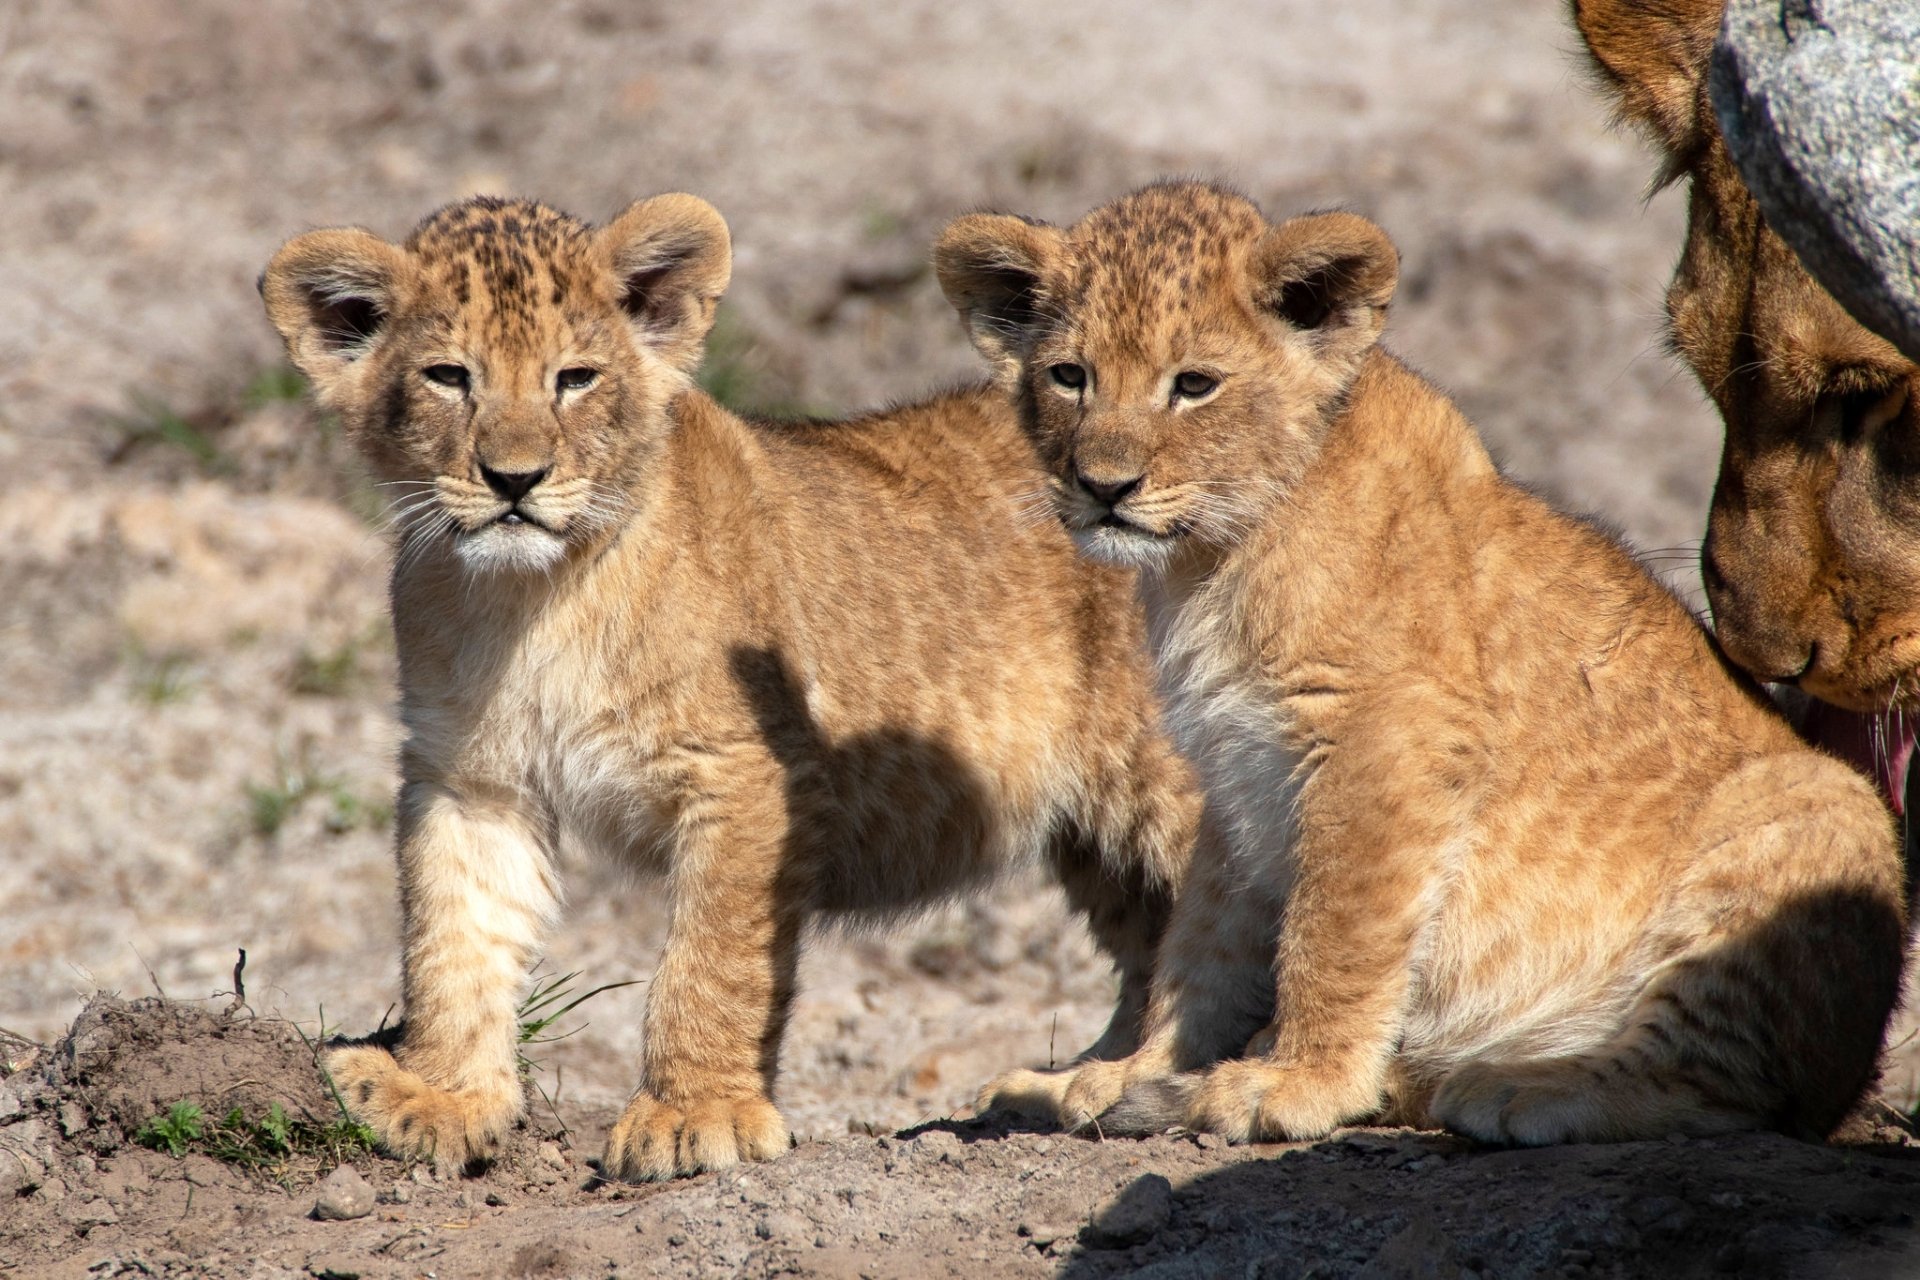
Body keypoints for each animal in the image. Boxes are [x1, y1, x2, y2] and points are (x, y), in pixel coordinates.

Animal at [259, 193, 1201, 1180]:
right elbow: (453, 940)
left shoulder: (748, 772)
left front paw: (692, 1116)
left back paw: (1154, 1090)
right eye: (448, 376)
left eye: (575, 379)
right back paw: (1066, 1085)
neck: (535, 599)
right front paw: (435, 1096)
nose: (515, 480)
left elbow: (709, 959)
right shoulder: (472, 781)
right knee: (1156, 944)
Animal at [935, 181, 1906, 1144]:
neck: (1208, 562)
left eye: (1194, 385)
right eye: (1070, 376)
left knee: (1732, 1081)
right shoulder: (1237, 776)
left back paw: (1522, 1083)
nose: (1103, 488)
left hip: (1821, 809)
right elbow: (1204, 941)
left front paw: (1297, 1083)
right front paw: (1128, 1075)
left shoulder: (1388, 738)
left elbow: (1334, 929)